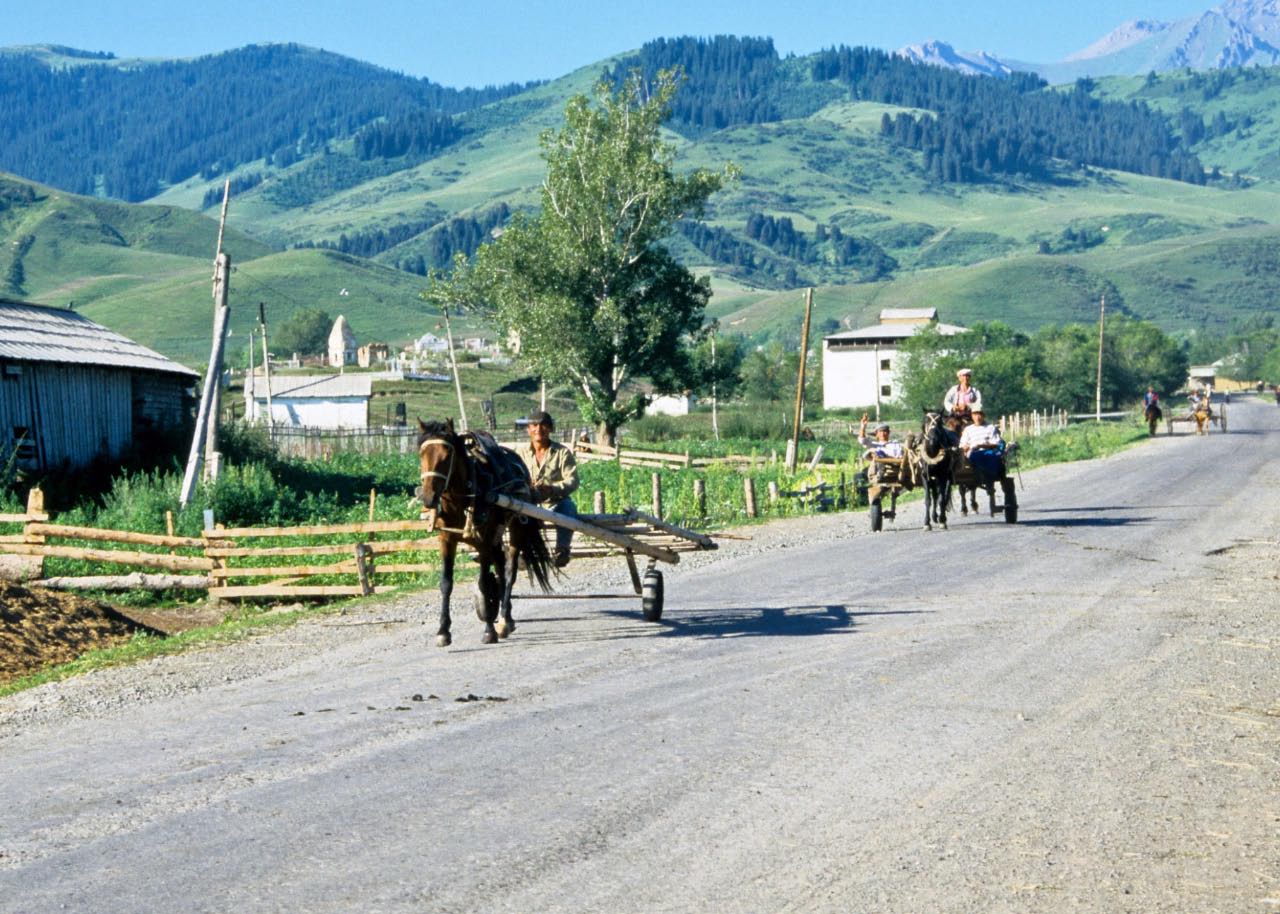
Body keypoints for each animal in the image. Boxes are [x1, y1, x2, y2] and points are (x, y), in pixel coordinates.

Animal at [417, 417, 552, 645]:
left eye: (447, 455)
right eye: (421, 454)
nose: (428, 498)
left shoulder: (484, 541)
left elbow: (482, 583)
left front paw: (489, 630)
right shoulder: (446, 538)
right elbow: (446, 583)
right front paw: (443, 631)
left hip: (515, 528)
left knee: (509, 571)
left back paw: (504, 619)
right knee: (500, 568)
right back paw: (507, 618)